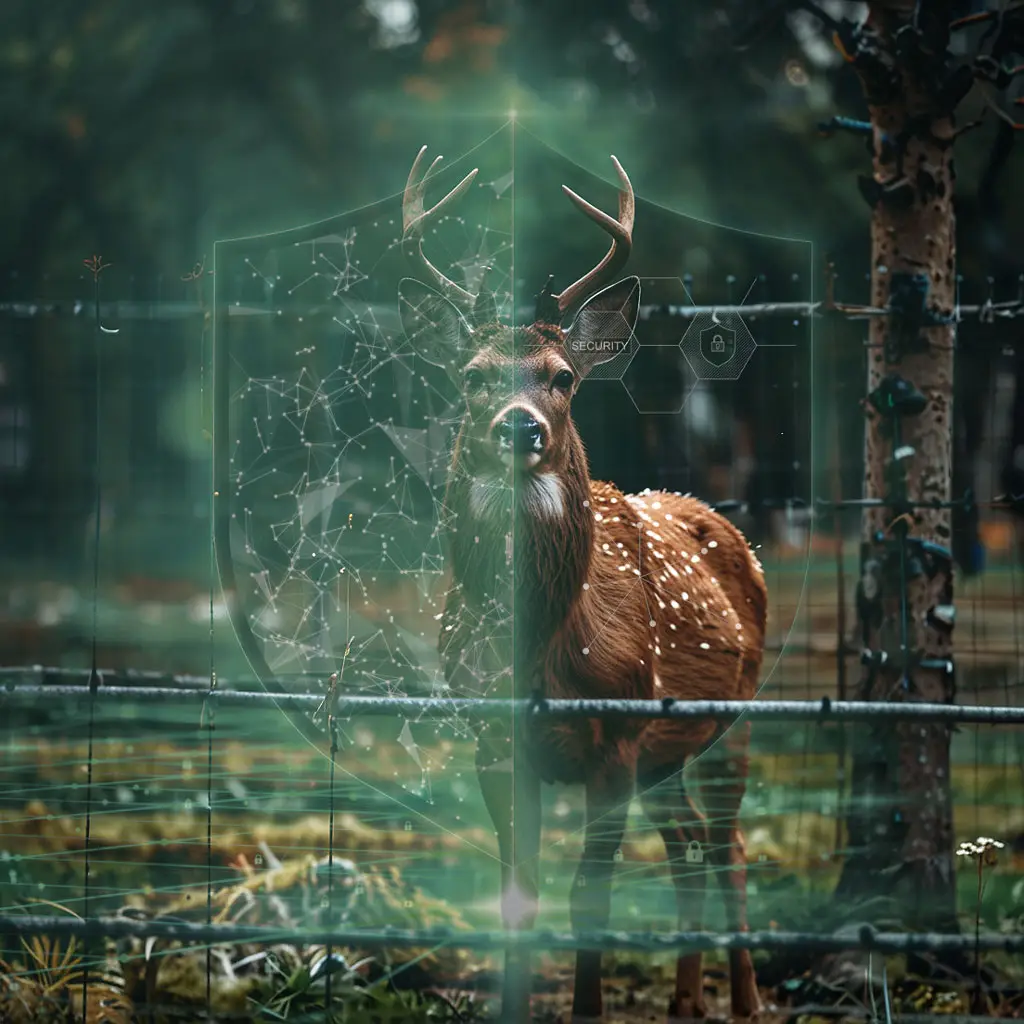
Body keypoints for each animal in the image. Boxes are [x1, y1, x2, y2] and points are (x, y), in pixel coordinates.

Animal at [397, 145, 768, 1023]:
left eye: (563, 376)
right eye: (471, 375)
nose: (519, 425)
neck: (546, 649)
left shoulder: (618, 736)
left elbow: (588, 900)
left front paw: (589, 1007)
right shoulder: (494, 739)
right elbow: (517, 896)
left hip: (730, 722)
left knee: (728, 846)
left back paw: (744, 1001)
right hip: (671, 751)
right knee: (689, 847)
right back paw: (684, 1002)